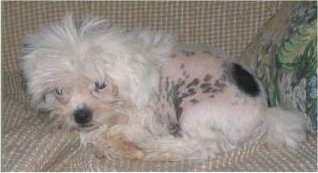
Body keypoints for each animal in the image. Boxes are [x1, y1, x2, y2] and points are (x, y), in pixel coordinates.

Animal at [21, 15, 306, 161]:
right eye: (59, 91)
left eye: (100, 85)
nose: (81, 116)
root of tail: (265, 111)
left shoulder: (140, 116)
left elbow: (106, 132)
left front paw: (107, 138)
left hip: (193, 108)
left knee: (205, 146)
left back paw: (154, 147)